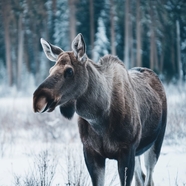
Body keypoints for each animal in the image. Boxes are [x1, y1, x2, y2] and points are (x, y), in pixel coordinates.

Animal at [33, 33, 167, 186]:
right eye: (50, 70)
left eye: (69, 70)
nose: (38, 99)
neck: (99, 117)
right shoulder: (91, 152)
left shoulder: (127, 151)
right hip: (139, 151)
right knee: (141, 178)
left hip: (156, 142)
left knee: (149, 177)